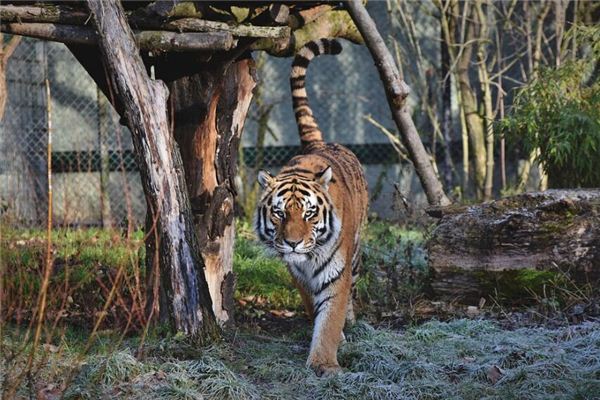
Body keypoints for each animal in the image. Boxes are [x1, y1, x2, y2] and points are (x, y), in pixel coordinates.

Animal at [254, 39, 368, 376]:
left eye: (309, 213)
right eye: (279, 213)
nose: (292, 243)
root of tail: (319, 144)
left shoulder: (337, 272)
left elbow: (330, 317)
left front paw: (324, 363)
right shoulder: (298, 275)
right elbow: (314, 306)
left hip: (356, 252)